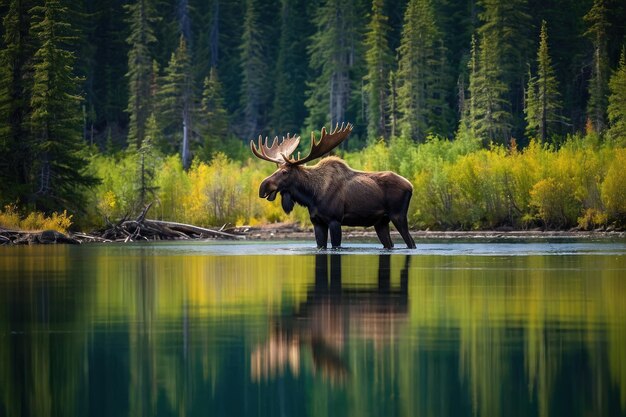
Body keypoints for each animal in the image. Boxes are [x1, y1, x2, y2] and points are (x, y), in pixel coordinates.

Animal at [249, 122, 414, 249]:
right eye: (276, 169)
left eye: (284, 172)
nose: (263, 186)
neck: (311, 196)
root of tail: (411, 186)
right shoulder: (317, 222)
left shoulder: (335, 220)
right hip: (380, 222)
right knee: (390, 244)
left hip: (398, 215)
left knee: (411, 242)